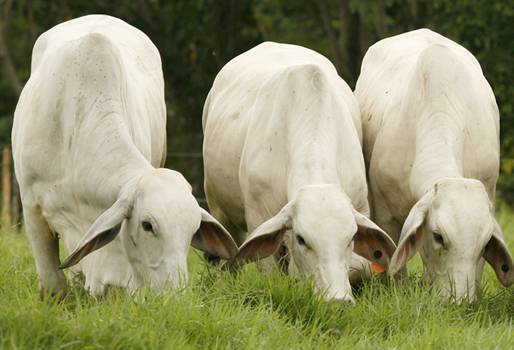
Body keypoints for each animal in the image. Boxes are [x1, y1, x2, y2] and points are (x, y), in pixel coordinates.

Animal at [201, 41, 392, 304]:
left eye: (351, 238)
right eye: (302, 239)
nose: (337, 301)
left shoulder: (360, 206)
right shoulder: (260, 216)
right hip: (220, 211)